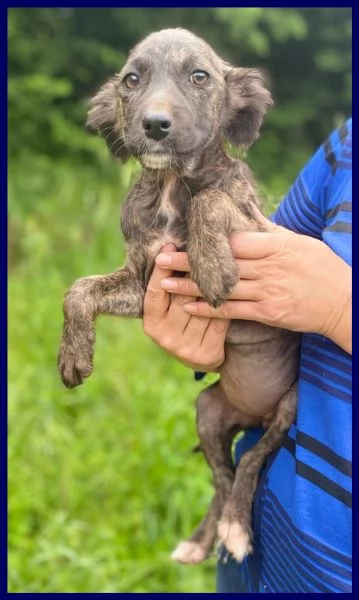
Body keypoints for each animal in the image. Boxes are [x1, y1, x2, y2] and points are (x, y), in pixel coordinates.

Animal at [58, 27, 300, 564]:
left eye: (200, 76)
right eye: (131, 80)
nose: (154, 125)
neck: (171, 185)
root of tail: (250, 414)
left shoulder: (263, 233)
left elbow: (213, 198)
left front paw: (212, 265)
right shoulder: (145, 279)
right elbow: (78, 289)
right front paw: (74, 355)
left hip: (288, 409)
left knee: (250, 461)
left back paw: (236, 528)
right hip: (207, 412)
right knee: (222, 476)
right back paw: (202, 539)